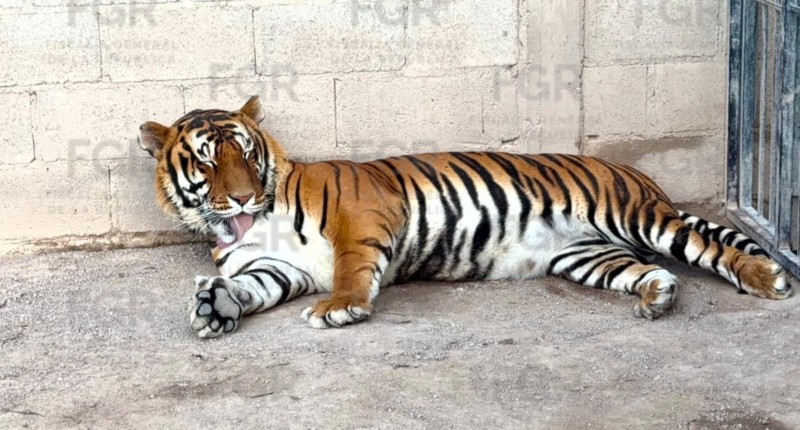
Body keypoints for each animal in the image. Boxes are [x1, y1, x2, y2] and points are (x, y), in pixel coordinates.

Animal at [138, 96, 793, 338]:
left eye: (247, 154)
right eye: (208, 159)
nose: (243, 199)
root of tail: (636, 172)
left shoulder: (363, 214)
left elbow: (351, 266)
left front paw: (340, 307)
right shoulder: (278, 267)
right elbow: (250, 287)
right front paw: (215, 306)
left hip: (638, 217)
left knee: (708, 246)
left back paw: (769, 279)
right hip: (589, 255)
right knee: (650, 271)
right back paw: (658, 297)